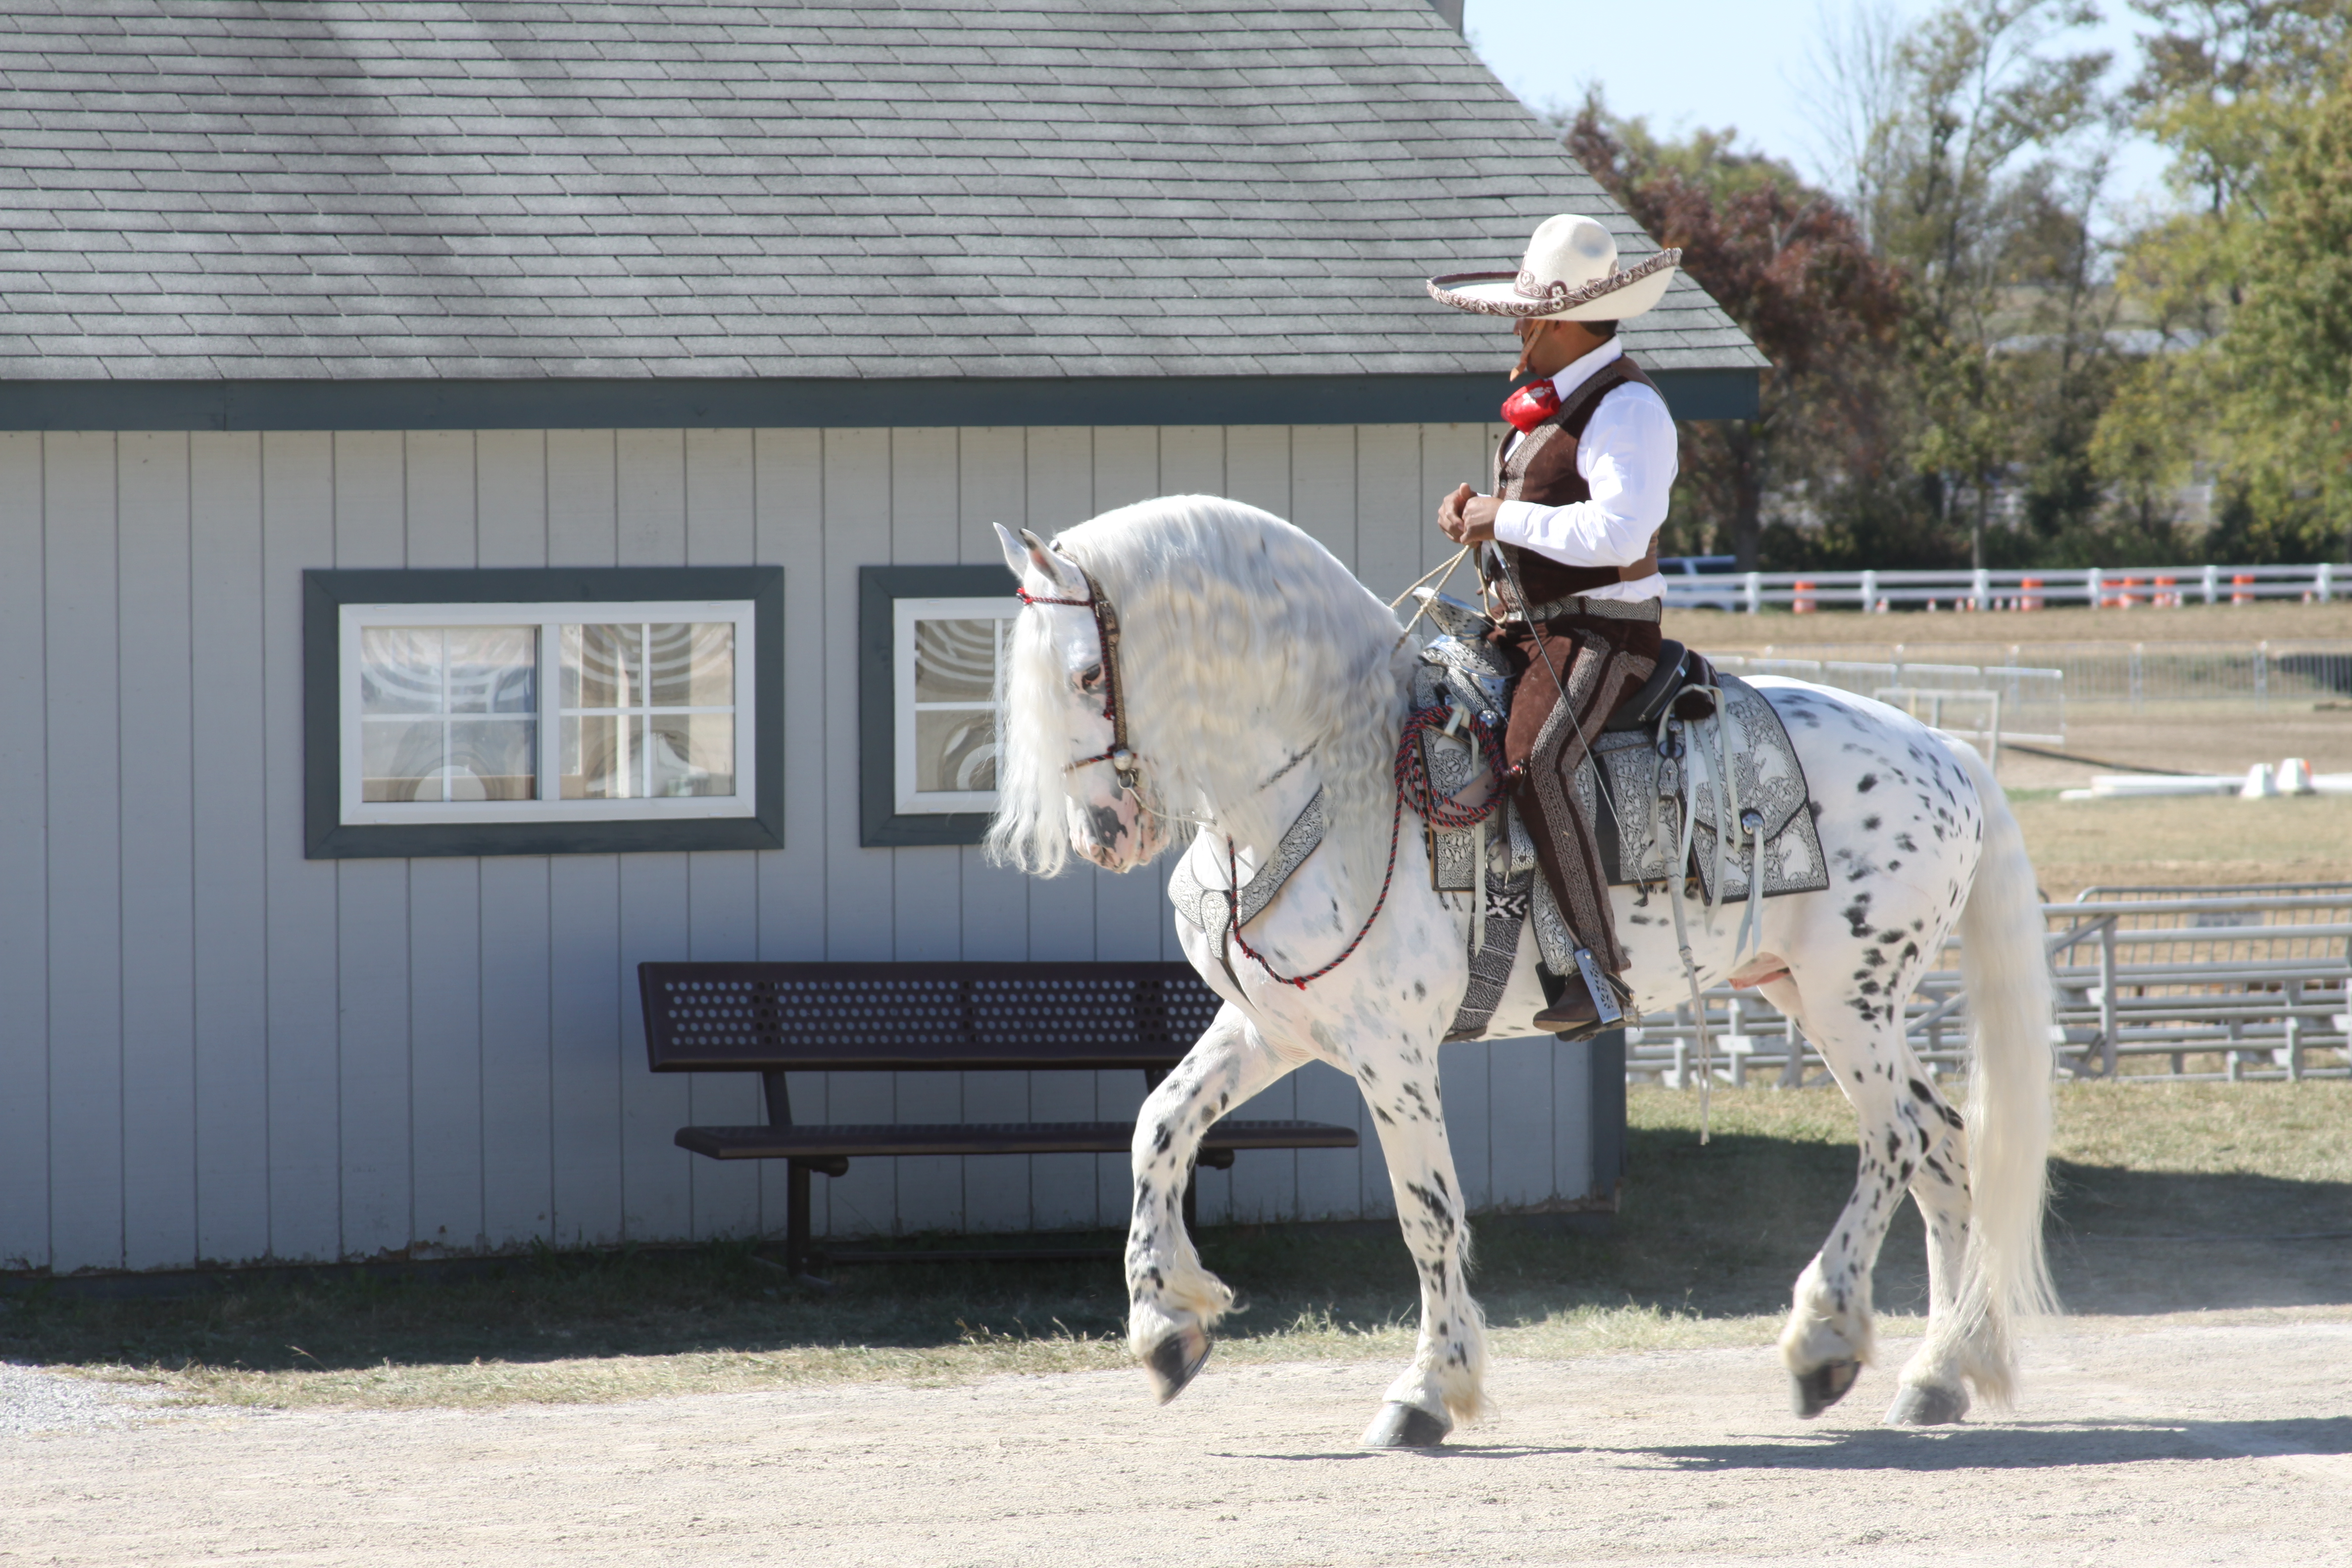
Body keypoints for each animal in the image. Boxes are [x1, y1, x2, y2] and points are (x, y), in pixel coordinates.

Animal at [983, 493, 2051, 1448]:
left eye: (1085, 675)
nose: (1103, 834)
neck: (1329, 777)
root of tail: (1944, 747)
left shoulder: (1393, 1055)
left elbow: (1428, 1216)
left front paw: (1427, 1389)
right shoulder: (1272, 1030)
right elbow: (1158, 1127)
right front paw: (1165, 1325)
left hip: (1845, 1002)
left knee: (1897, 1140)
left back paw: (1825, 1338)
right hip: (1816, 995)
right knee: (1945, 1144)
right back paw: (1940, 1372)